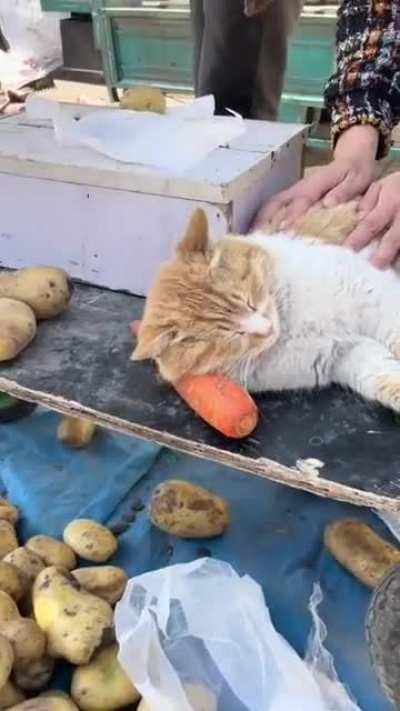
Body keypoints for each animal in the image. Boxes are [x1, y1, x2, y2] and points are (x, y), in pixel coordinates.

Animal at [132, 200, 400, 412]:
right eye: (233, 336)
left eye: (249, 302)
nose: (268, 329)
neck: (290, 324)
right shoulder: (344, 354)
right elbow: (383, 376)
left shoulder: (375, 298)